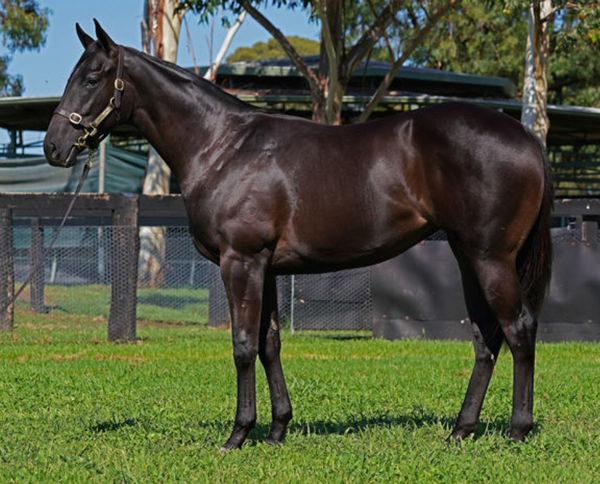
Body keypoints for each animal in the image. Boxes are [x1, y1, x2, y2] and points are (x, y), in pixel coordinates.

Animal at [43, 19, 552, 450]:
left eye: (92, 78)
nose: (53, 147)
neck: (223, 145)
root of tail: (526, 137)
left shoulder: (241, 261)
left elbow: (243, 346)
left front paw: (238, 434)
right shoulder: (266, 267)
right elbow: (269, 344)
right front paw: (276, 430)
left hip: (490, 258)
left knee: (519, 328)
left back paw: (518, 430)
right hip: (468, 256)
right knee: (486, 337)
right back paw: (461, 430)